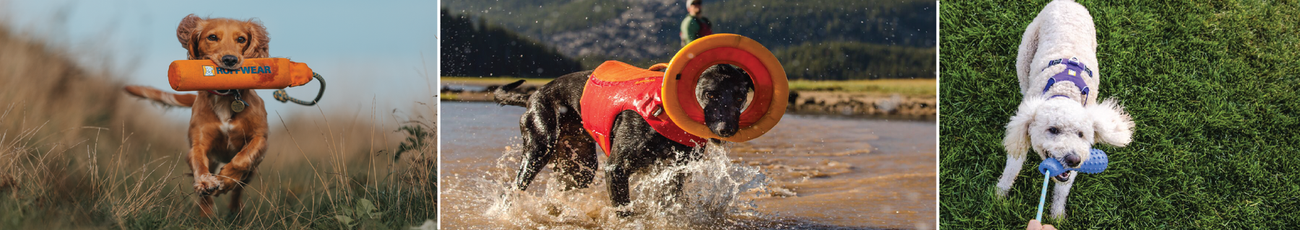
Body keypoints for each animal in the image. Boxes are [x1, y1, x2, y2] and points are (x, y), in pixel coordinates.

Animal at [125, 14, 270, 217]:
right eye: (212, 37)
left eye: (241, 39)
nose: (230, 60)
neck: (225, 99)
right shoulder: (198, 143)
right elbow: (199, 164)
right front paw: (206, 182)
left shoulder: (260, 138)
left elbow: (242, 159)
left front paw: (226, 179)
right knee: (208, 195)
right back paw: (206, 214)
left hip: (252, 172)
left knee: (239, 188)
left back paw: (235, 210)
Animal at [493, 63, 759, 214]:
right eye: (710, 94)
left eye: (740, 97)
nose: (726, 130)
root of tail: (532, 95)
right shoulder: (616, 169)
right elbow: (624, 211)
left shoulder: (675, 174)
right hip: (538, 149)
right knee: (512, 189)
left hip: (581, 169)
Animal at [998, 0, 1133, 219]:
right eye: (1053, 130)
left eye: (1081, 135)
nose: (1073, 159)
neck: (1065, 91)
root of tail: (1068, 2)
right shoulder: (1020, 137)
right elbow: (1012, 168)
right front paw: (998, 196)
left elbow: (1063, 188)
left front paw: (1058, 216)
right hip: (1026, 50)